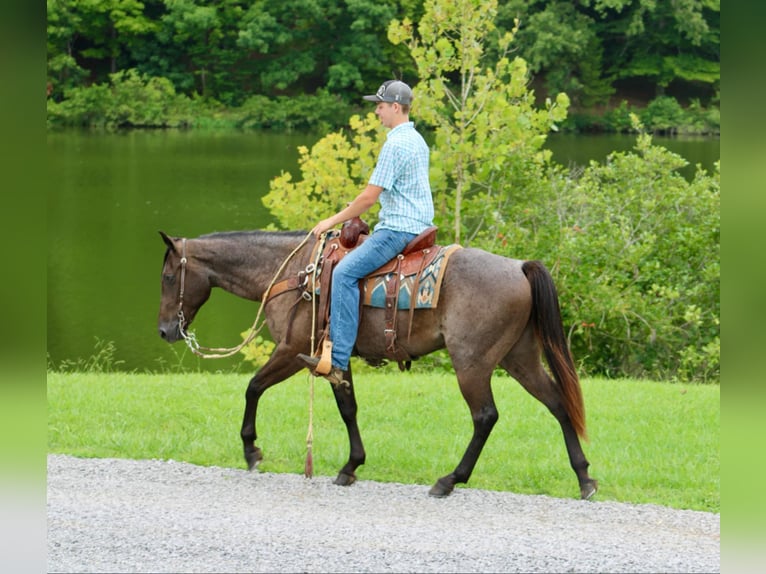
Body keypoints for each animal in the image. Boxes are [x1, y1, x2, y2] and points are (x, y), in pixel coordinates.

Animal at [158, 230, 600, 500]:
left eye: (167, 277)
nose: (164, 330)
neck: (294, 272)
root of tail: (518, 267)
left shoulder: (292, 349)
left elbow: (253, 387)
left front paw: (251, 450)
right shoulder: (333, 357)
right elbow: (348, 408)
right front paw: (351, 466)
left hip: (472, 363)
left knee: (485, 416)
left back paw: (449, 480)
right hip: (520, 357)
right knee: (558, 404)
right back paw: (584, 478)